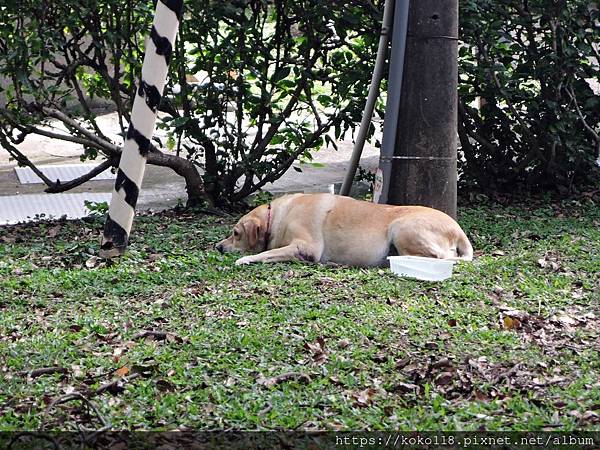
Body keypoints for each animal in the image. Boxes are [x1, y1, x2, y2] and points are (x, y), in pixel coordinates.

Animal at [216, 192, 474, 264]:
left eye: (235, 234)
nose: (218, 247)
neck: (277, 216)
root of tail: (459, 231)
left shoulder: (305, 247)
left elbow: (266, 253)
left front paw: (245, 259)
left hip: (402, 228)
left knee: (439, 257)